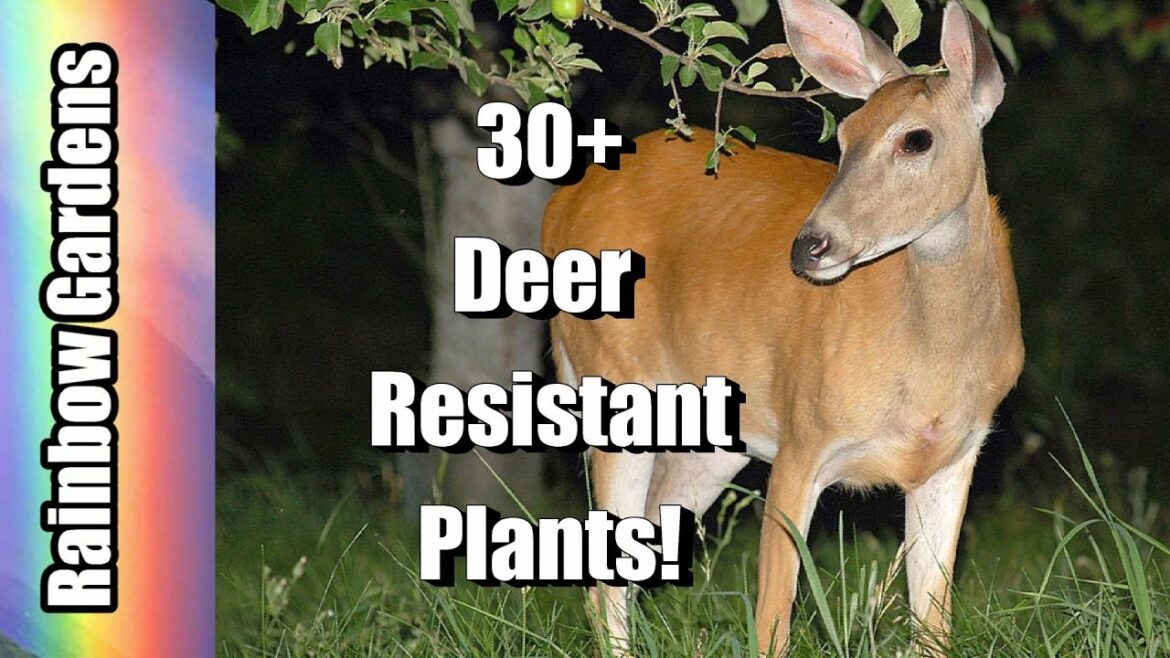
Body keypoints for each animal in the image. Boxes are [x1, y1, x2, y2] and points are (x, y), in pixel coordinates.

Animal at [541, 0, 1024, 654]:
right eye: (843, 137)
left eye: (916, 139)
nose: (809, 247)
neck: (933, 358)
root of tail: (558, 208)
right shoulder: (803, 434)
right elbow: (775, 613)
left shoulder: (954, 454)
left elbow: (933, 621)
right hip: (614, 373)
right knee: (604, 579)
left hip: (711, 438)